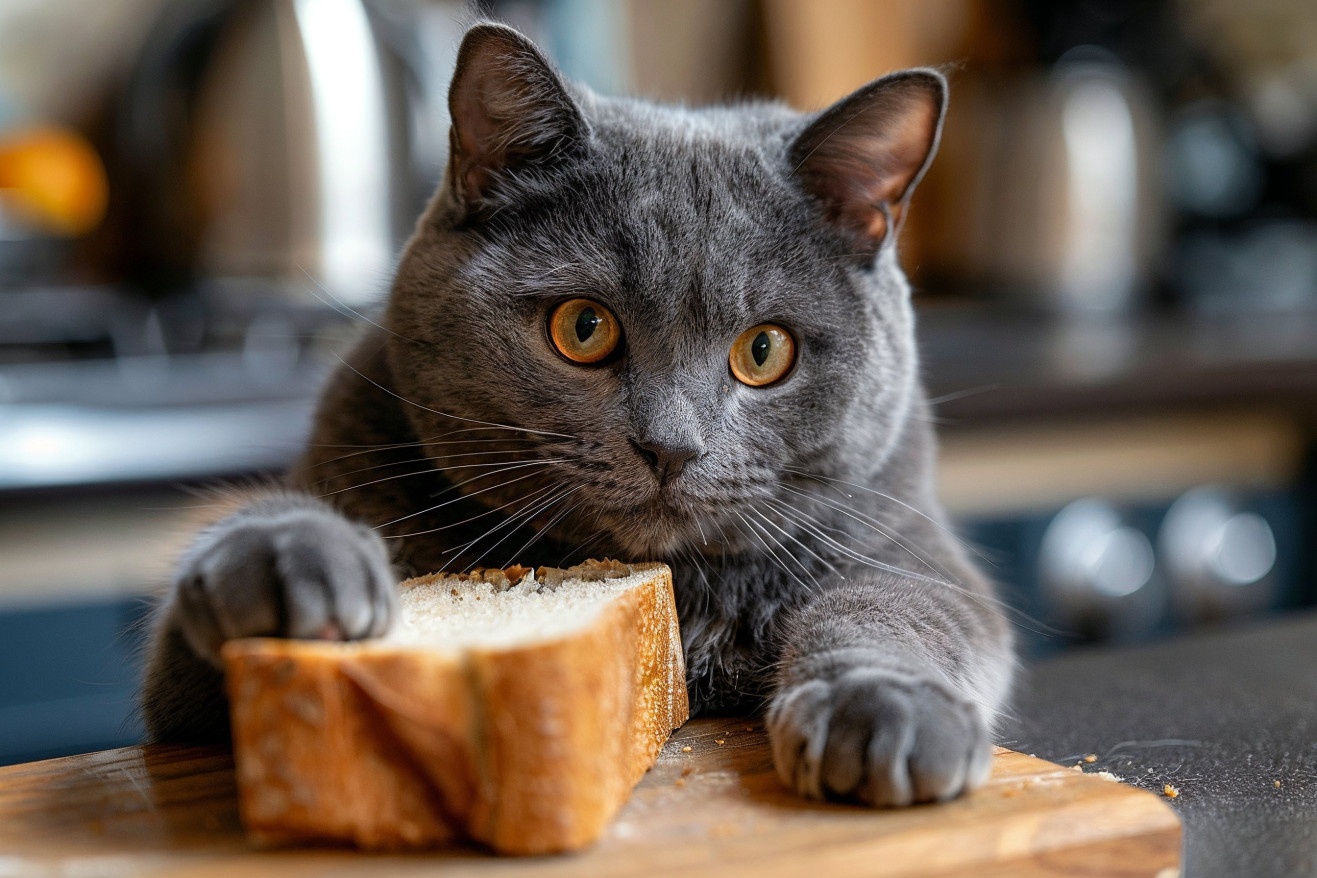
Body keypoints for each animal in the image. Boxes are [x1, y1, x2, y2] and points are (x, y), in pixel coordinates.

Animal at [141, 20, 1006, 805]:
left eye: (764, 351)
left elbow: (900, 606)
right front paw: (289, 559)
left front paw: (886, 711)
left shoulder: (910, 542)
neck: (680, 592)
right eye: (582, 328)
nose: (670, 447)